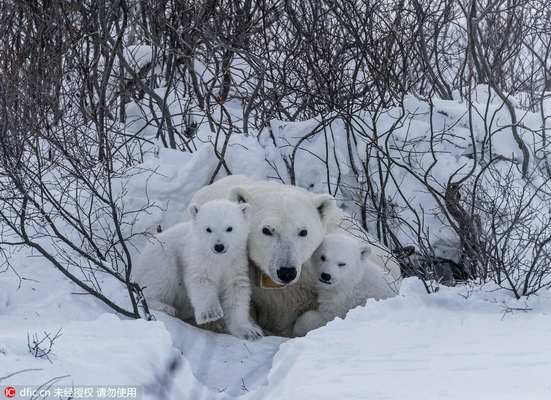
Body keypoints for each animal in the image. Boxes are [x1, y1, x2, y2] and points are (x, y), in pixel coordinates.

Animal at [134, 200, 264, 340]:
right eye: (208, 229)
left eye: (229, 228)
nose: (219, 246)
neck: (219, 259)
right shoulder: (198, 257)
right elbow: (201, 281)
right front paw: (211, 313)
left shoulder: (236, 263)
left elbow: (236, 290)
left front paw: (249, 331)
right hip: (162, 256)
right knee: (160, 278)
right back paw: (164, 306)